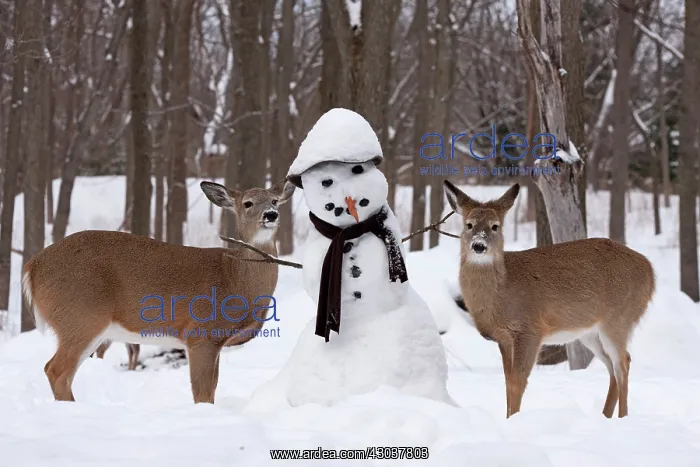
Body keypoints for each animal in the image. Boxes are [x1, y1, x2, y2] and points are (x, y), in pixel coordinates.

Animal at [23, 179, 295, 404]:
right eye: (247, 203)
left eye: (274, 200)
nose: (271, 215)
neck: (234, 277)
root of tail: (32, 267)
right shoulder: (200, 334)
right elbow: (203, 394)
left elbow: (212, 390)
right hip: (80, 316)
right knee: (56, 370)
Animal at [443, 181, 655, 419]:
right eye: (468, 225)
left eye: (495, 226)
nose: (479, 245)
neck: (501, 294)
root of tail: (650, 270)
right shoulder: (504, 338)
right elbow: (507, 382)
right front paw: (507, 418)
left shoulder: (530, 329)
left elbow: (518, 382)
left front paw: (514, 419)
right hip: (589, 332)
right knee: (611, 367)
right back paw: (605, 416)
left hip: (619, 318)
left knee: (623, 363)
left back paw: (622, 417)